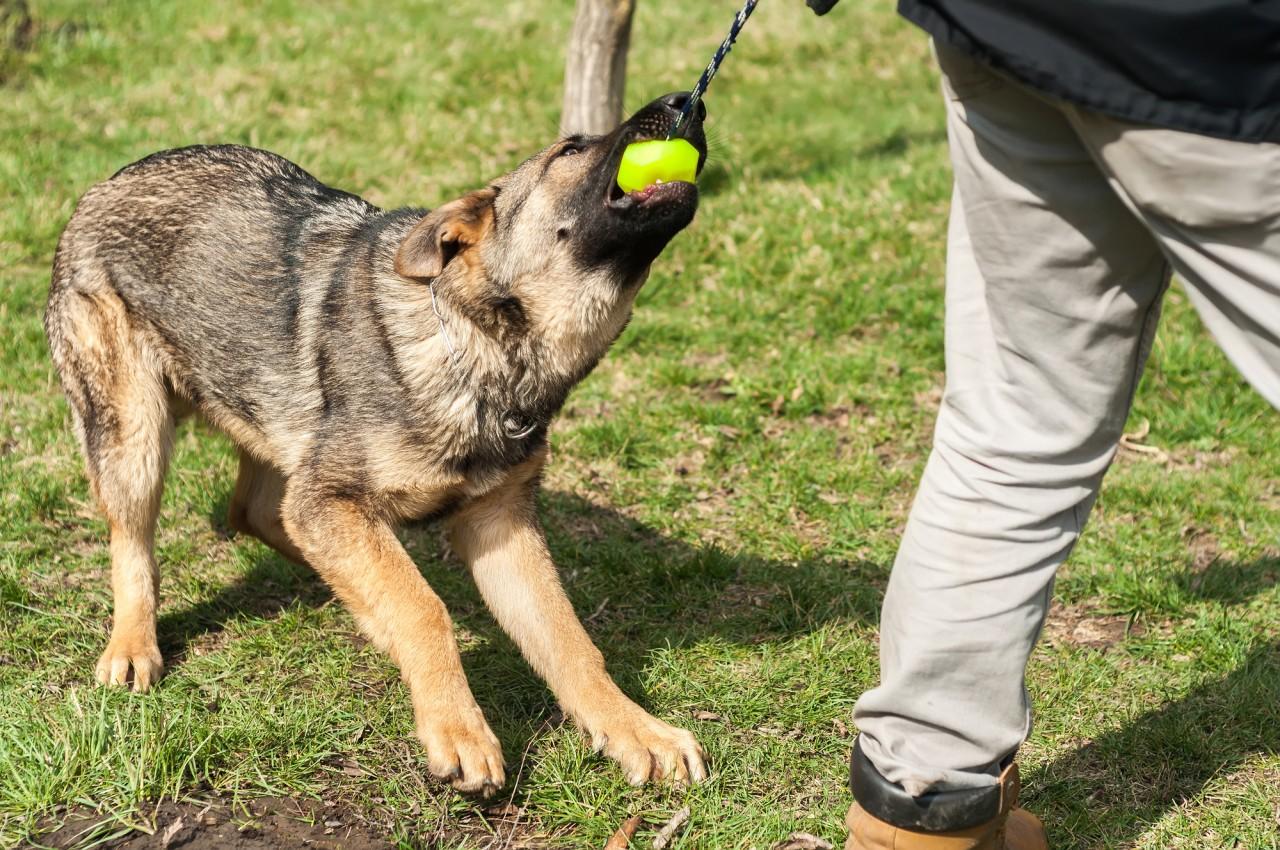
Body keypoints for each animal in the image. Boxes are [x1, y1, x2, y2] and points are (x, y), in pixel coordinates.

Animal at [42, 92, 711, 788]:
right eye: (571, 149)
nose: (684, 102)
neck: (480, 346)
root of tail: (109, 181)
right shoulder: (330, 498)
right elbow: (424, 607)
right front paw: (458, 729)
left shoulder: (497, 523)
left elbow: (568, 639)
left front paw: (635, 729)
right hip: (136, 435)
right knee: (137, 541)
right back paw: (132, 646)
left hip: (278, 427)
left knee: (259, 513)